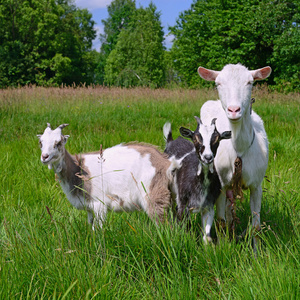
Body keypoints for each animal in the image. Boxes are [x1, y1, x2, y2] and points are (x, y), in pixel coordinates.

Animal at [37, 123, 178, 229]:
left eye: (58, 143)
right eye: (40, 142)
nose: (45, 157)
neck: (79, 169)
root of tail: (166, 163)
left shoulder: (99, 203)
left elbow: (98, 228)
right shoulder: (89, 207)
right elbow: (91, 225)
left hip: (153, 192)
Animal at [197, 62, 272, 247]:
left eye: (250, 82)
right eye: (218, 83)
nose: (233, 110)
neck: (239, 149)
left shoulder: (257, 185)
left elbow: (256, 226)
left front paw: (256, 251)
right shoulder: (221, 184)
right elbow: (221, 221)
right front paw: (224, 247)